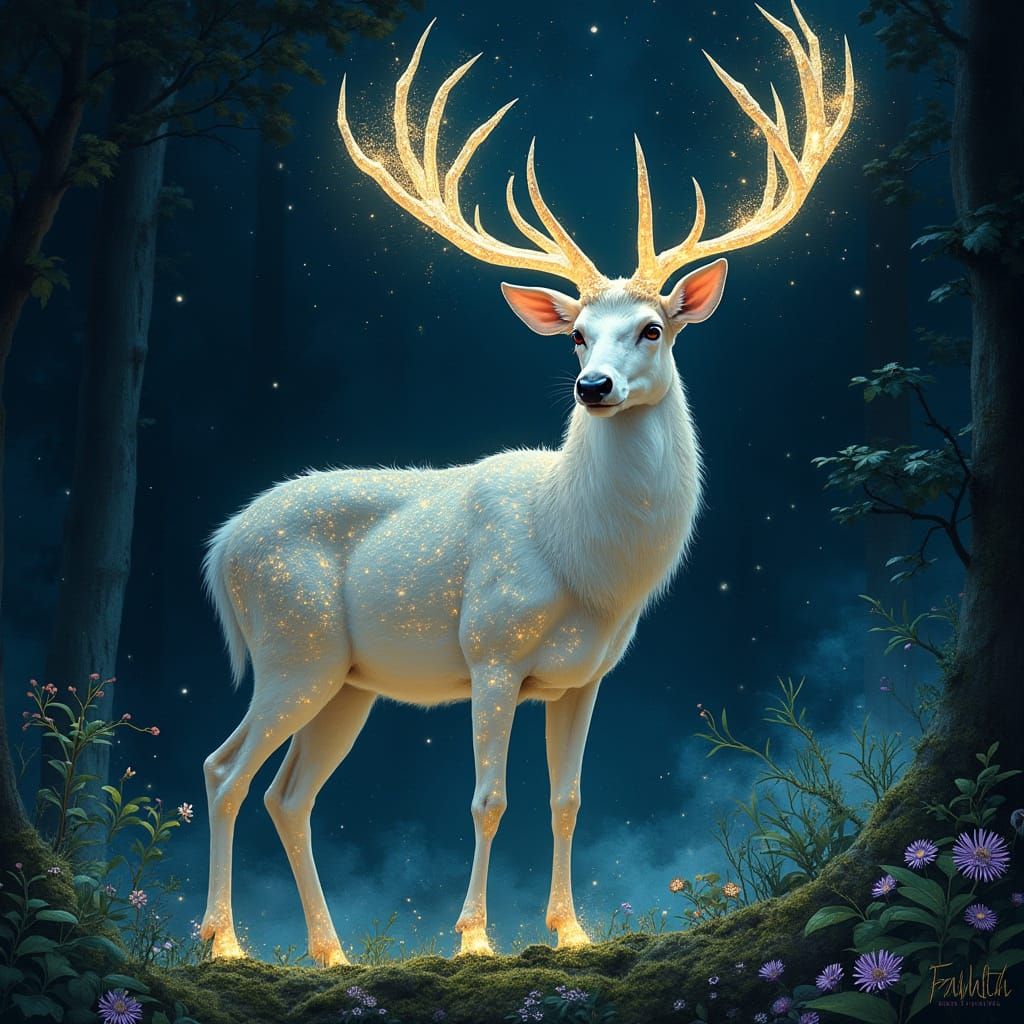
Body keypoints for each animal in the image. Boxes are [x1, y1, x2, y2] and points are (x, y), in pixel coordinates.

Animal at [199, 2, 854, 966]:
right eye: (576, 334)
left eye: (653, 328)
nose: (594, 387)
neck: (584, 563)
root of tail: (219, 550)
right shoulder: (492, 648)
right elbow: (488, 799)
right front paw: (474, 939)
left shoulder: (584, 678)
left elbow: (569, 799)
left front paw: (571, 931)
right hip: (293, 648)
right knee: (226, 769)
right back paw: (226, 945)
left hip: (346, 682)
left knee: (290, 792)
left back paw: (330, 951)